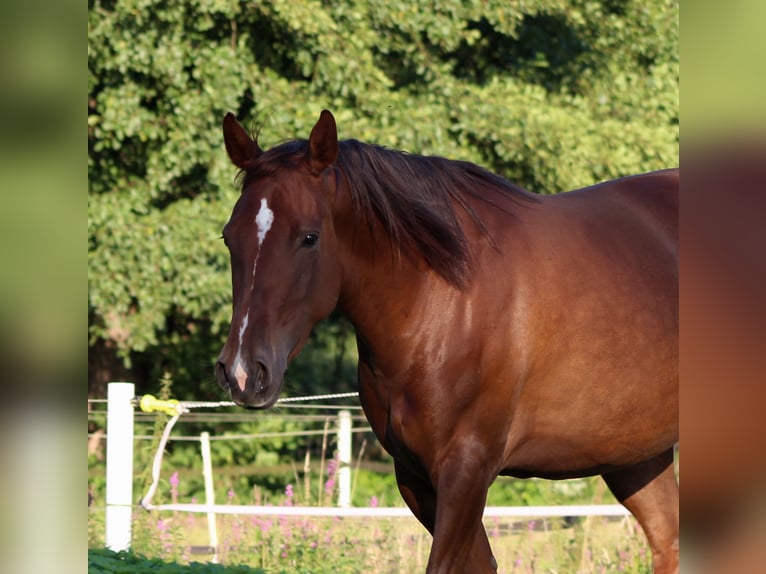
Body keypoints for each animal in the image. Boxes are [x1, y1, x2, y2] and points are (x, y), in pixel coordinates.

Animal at [215, 110, 679, 573]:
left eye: (308, 237)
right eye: (229, 237)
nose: (243, 372)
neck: (440, 300)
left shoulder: (466, 470)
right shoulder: (414, 476)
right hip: (635, 458)